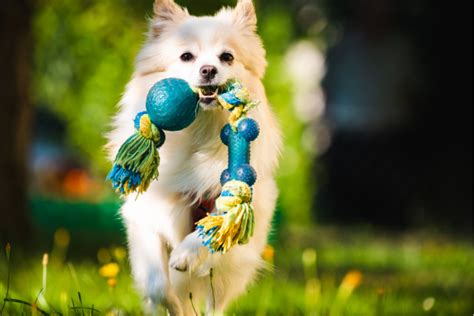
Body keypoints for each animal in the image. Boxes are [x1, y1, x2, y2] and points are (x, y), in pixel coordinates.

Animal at [107, 0, 282, 314]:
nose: (209, 69)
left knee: (216, 303)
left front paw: (185, 255)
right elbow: (158, 285)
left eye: (227, 57)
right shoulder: (148, 216)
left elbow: (217, 224)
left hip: (228, 274)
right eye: (186, 56)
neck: (199, 130)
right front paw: (172, 304)